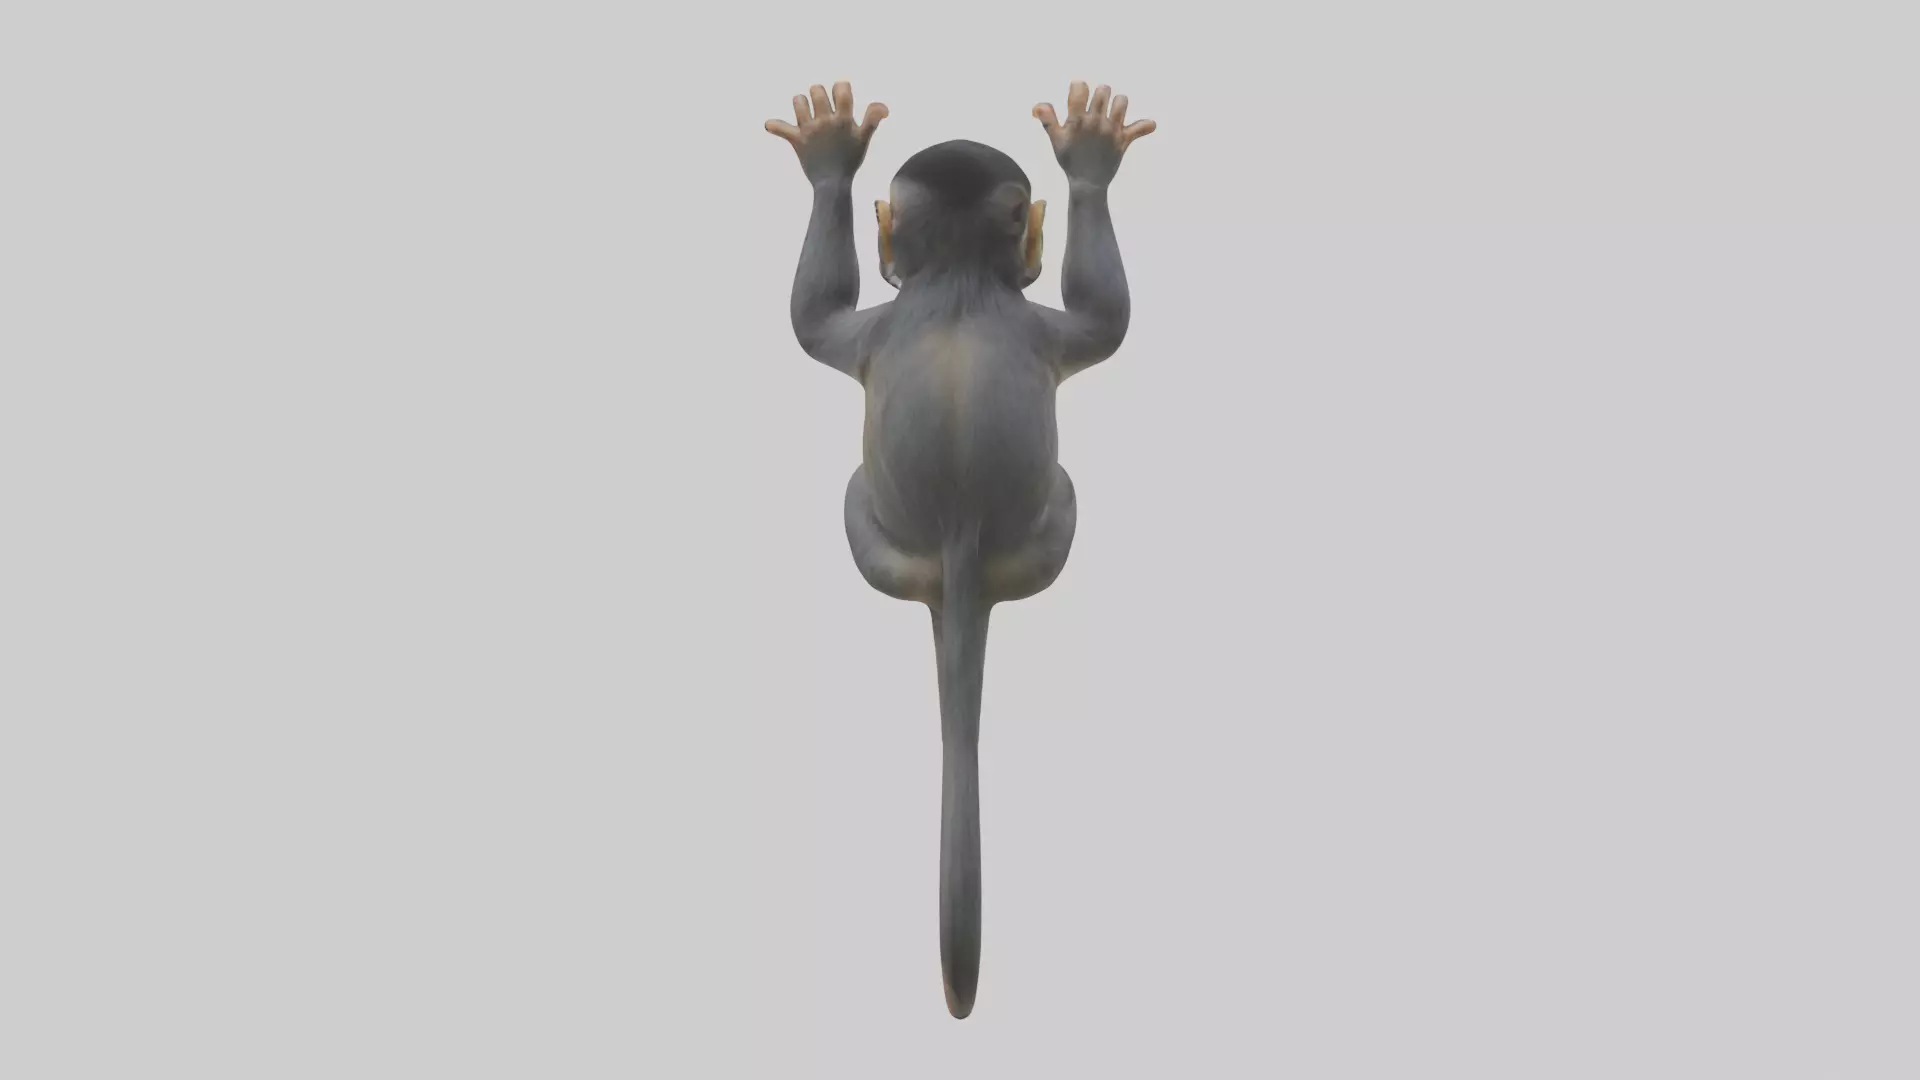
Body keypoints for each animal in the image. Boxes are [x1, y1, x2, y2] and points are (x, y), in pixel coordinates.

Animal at [765, 80, 1154, 1019]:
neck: (959, 285)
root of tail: (960, 543)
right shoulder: (1040, 331)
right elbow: (1107, 317)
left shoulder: (866, 333)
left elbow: (811, 318)